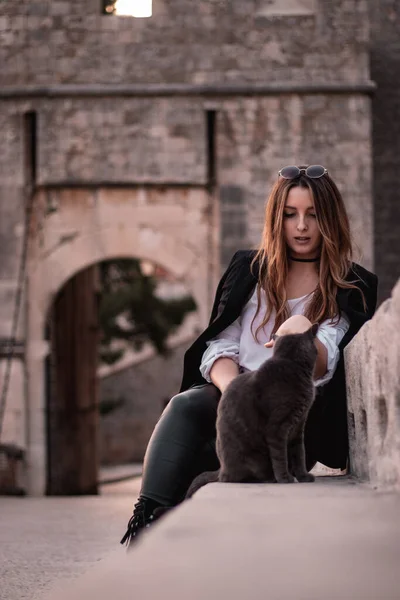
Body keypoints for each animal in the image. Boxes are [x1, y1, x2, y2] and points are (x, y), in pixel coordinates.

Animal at [186, 324, 320, 496]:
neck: (292, 365)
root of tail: (222, 470)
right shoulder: (277, 429)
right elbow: (280, 457)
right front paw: (285, 478)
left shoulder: (298, 427)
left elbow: (299, 454)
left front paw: (303, 476)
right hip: (256, 459)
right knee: (239, 478)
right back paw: (270, 479)